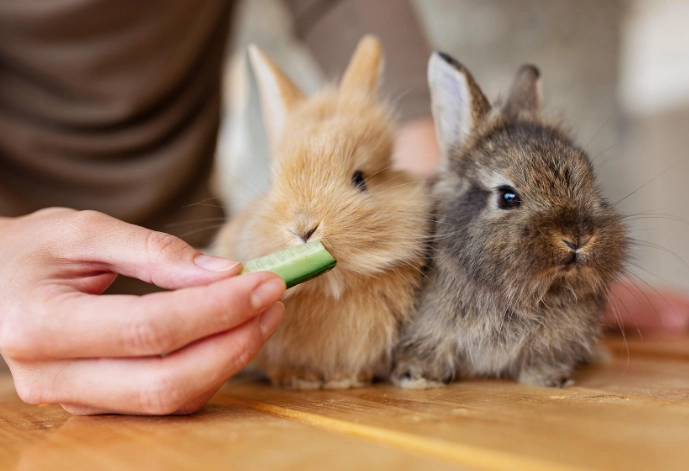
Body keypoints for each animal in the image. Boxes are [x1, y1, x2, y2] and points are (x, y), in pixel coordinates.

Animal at [213, 36, 431, 390]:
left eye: (360, 179)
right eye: (272, 182)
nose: (304, 229)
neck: (331, 285)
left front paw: (347, 379)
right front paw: (299, 380)